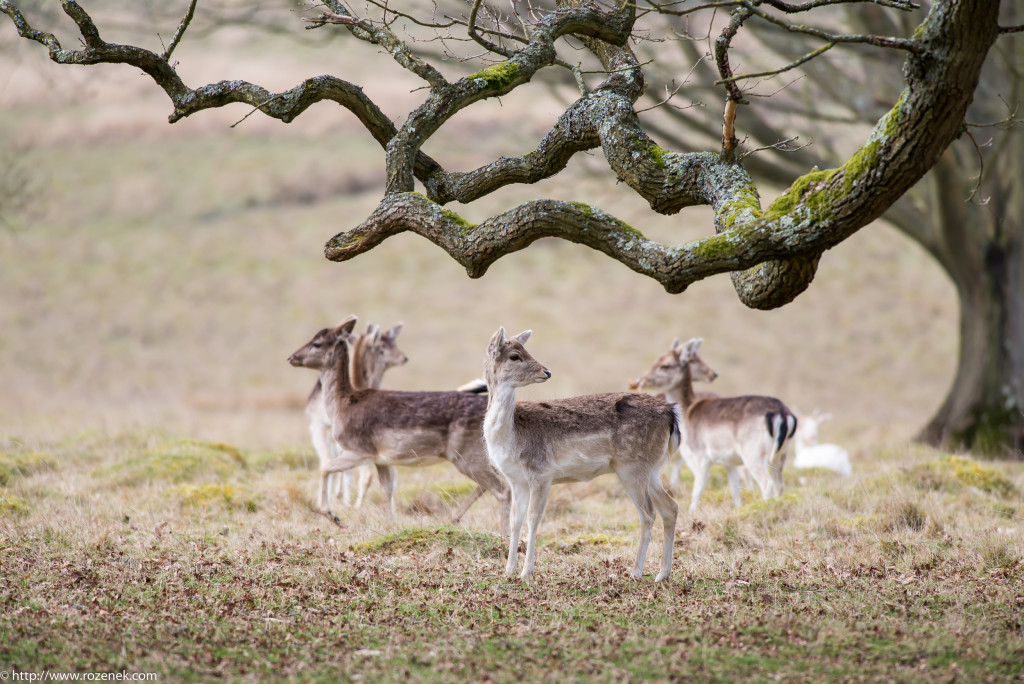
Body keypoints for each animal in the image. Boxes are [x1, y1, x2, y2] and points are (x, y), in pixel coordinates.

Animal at [288, 315, 512, 532]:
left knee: (502, 490)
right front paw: (390, 526)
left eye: (317, 343)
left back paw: (501, 535)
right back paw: (454, 519)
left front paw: (334, 516)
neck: (342, 405)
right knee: (497, 484)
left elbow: (325, 468)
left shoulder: (360, 449)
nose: (291, 357)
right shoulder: (382, 459)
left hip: (465, 453)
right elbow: (386, 491)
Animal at [481, 327, 679, 581]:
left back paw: (635, 572)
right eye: (515, 356)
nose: (546, 371)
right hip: (651, 469)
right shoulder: (516, 480)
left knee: (648, 513)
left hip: (631, 468)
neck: (511, 437)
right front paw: (508, 570)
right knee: (670, 507)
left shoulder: (541, 472)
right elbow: (515, 520)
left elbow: (534, 518)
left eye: (526, 350)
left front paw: (527, 572)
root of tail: (671, 413)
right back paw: (662, 574)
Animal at [634, 335, 794, 511]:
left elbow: (698, 488)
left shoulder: (699, 456)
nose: (640, 380)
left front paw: (691, 512)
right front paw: (738, 509)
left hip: (754, 454)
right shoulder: (729, 462)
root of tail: (783, 413)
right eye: (656, 360)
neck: (687, 412)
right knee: (780, 485)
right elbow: (735, 490)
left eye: (665, 365)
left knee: (767, 484)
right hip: (781, 454)